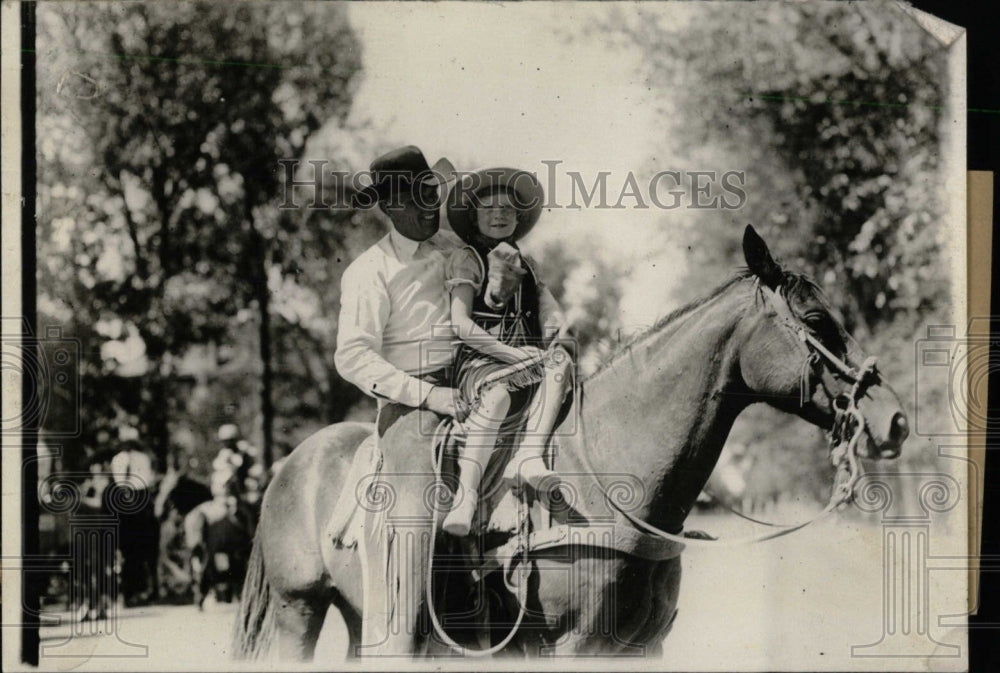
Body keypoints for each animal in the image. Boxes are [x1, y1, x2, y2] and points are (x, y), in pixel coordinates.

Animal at [232, 227, 908, 660]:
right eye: (816, 322)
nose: (895, 419)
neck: (609, 480)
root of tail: (292, 464)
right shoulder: (574, 644)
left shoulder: (642, 647)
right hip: (298, 611)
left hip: (357, 614)